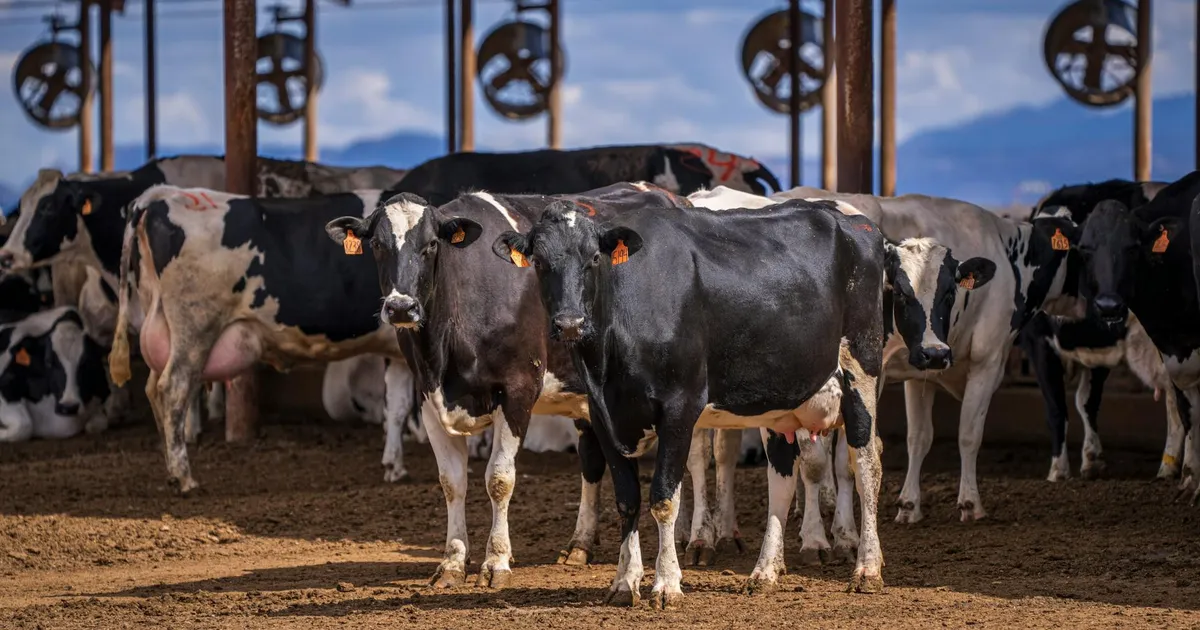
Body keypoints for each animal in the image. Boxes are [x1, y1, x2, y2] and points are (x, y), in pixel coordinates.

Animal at [107, 185, 414, 493]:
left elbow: (397, 407)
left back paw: (171, 471)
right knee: (172, 389)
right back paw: (184, 477)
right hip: (194, 328)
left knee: (152, 388)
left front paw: (394, 467)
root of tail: (164, 194)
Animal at [490, 198, 889, 606]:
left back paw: (867, 569)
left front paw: (666, 583)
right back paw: (764, 573)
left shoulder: (679, 408)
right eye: (540, 261)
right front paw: (624, 582)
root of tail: (852, 220)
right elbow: (627, 500)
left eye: (594, 259)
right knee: (781, 478)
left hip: (861, 370)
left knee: (867, 466)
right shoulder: (603, 416)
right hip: (780, 400)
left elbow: (664, 499)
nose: (570, 323)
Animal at [774, 186, 1078, 523]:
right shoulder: (988, 361)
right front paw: (970, 503)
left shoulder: (922, 373)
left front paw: (909, 505)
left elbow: (919, 437)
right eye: (900, 292)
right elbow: (969, 434)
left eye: (951, 292)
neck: (1009, 253)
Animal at [1023, 179, 1184, 481]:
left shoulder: (1039, 342)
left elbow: (1056, 407)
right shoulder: (1093, 347)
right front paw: (1092, 460)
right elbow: (1086, 402)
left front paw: (1058, 471)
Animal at [1073, 172, 1200, 504]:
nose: (1108, 306)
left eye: (1132, 248)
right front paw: (1192, 482)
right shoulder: (1173, 349)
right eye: (1085, 250)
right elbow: (1188, 410)